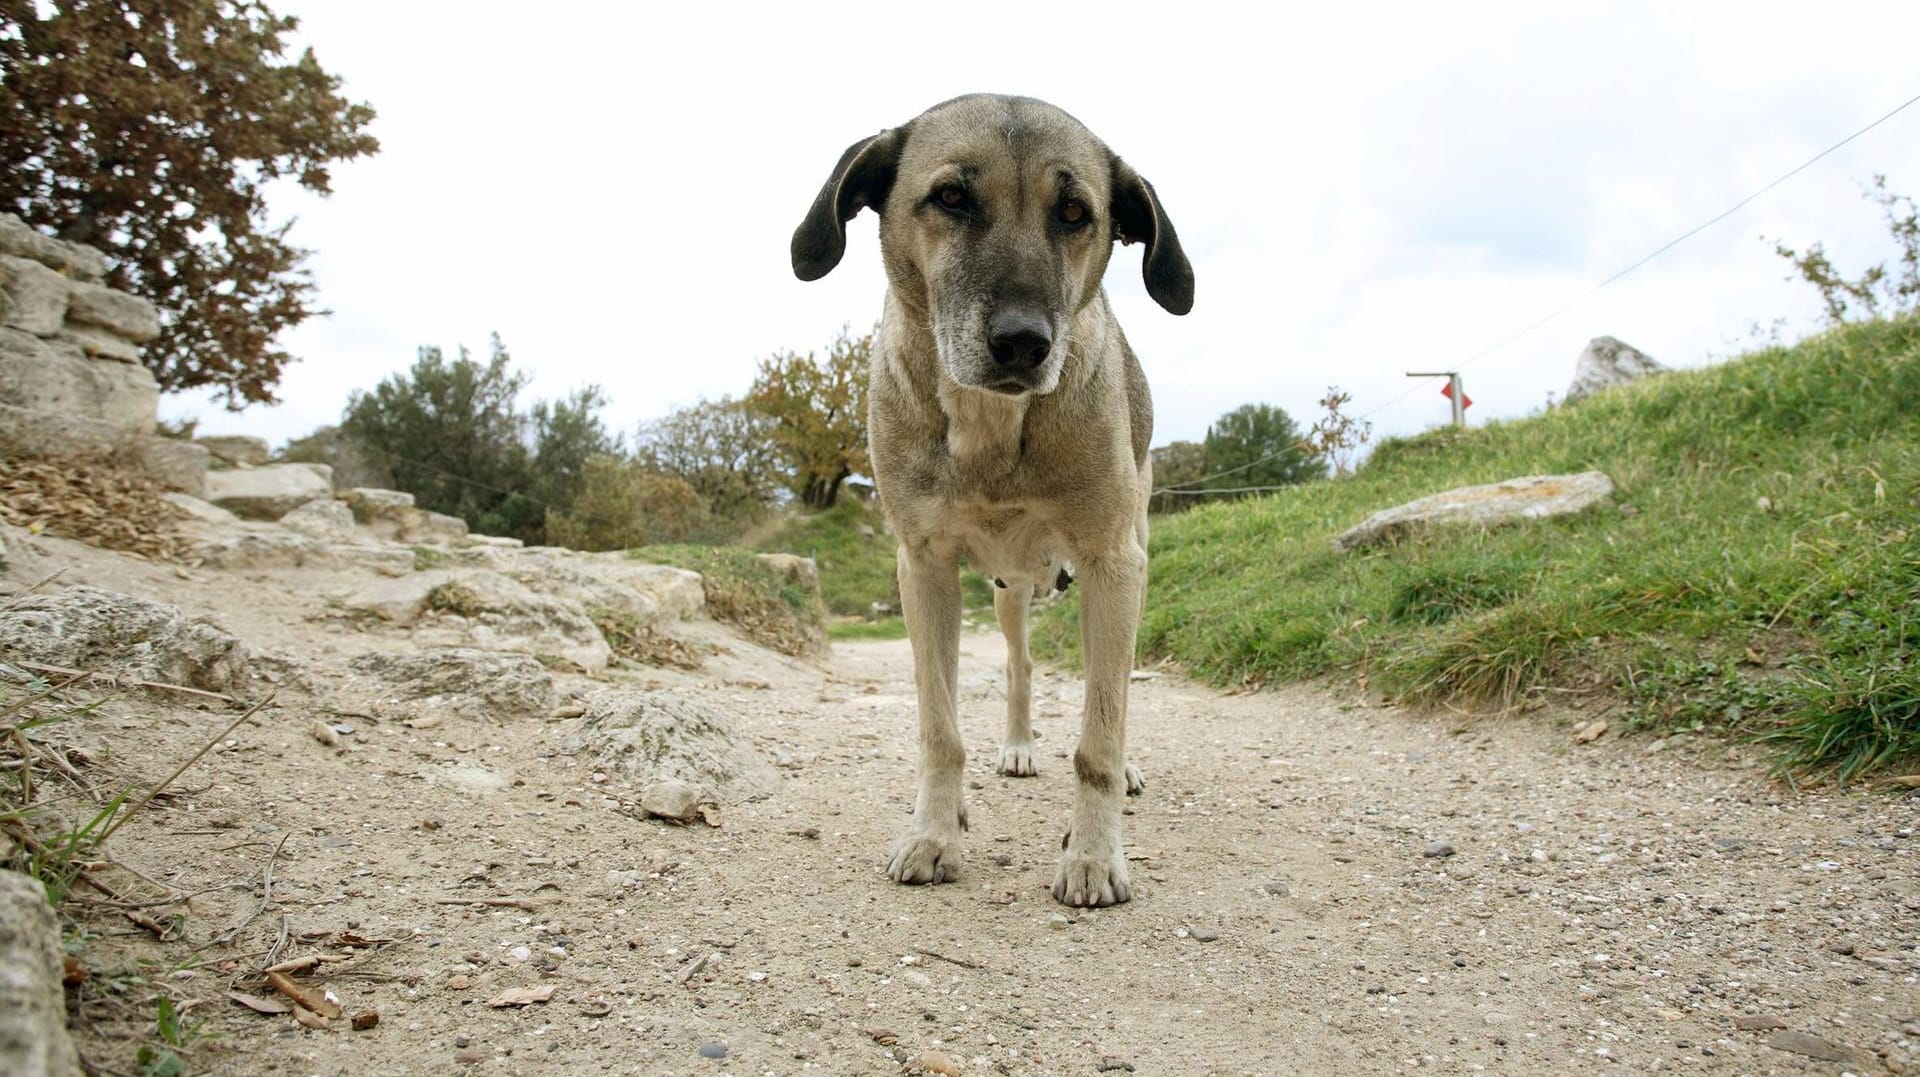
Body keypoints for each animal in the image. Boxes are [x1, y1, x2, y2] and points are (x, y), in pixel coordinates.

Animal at [791, 92, 1182, 902]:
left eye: (1075, 212)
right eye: (949, 197)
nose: (1023, 342)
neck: (992, 428)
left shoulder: (1112, 562)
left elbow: (1100, 730)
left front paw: (1092, 853)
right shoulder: (923, 566)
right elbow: (940, 728)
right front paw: (935, 833)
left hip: (1127, 561)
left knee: (1109, 688)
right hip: (1008, 593)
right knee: (1019, 667)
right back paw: (1018, 744)